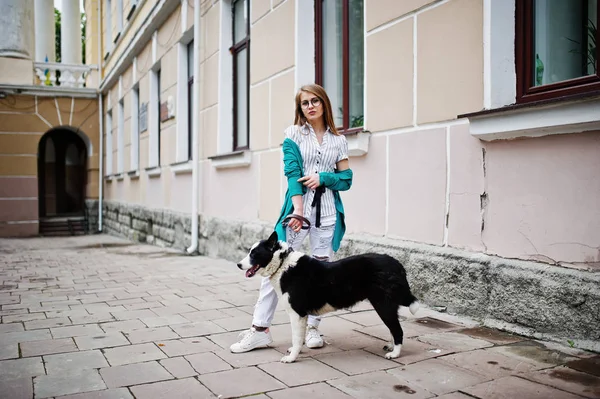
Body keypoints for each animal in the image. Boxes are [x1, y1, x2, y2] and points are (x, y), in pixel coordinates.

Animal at [237, 233, 420, 364]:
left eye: (254, 254)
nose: (238, 265)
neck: (283, 263)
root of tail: (397, 264)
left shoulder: (297, 314)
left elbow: (297, 337)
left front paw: (292, 358)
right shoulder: (302, 315)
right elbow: (299, 338)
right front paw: (297, 351)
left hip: (383, 305)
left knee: (398, 330)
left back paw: (395, 354)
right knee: (394, 328)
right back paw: (391, 346)